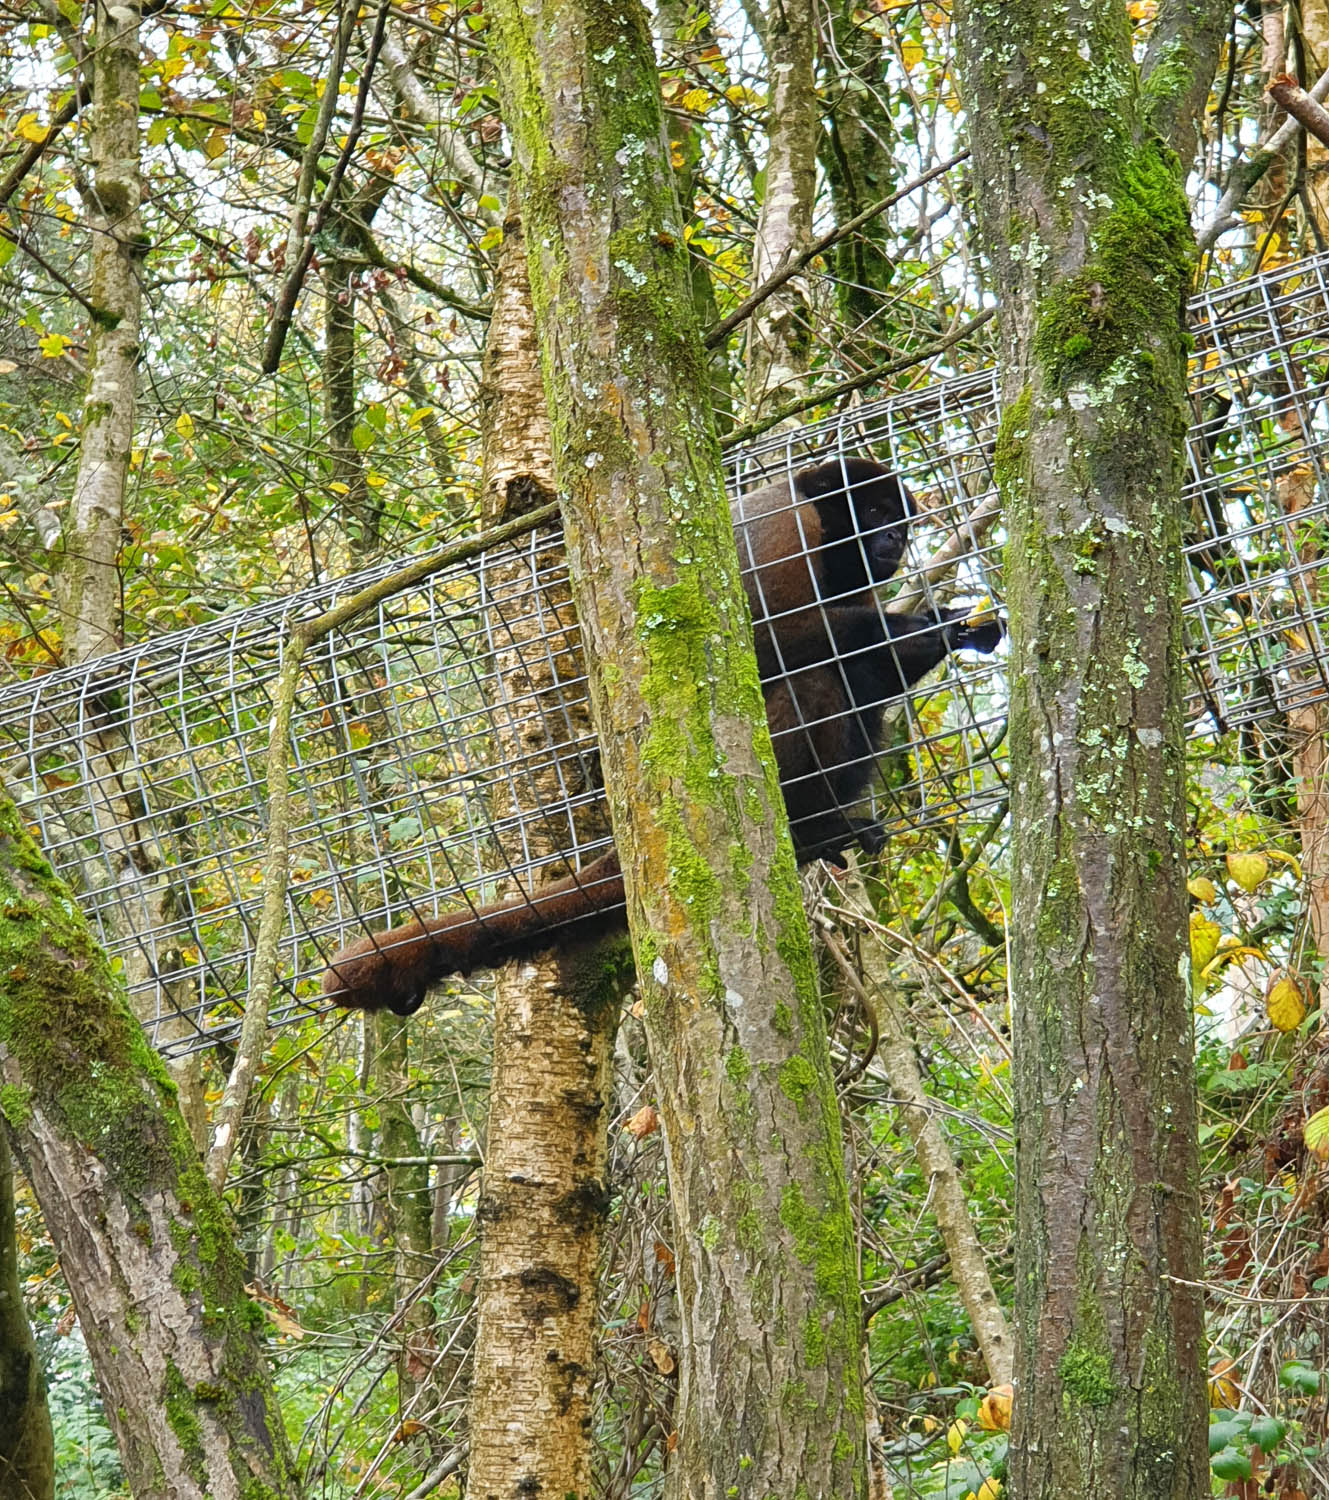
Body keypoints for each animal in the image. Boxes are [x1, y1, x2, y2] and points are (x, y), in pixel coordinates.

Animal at [321, 458, 1002, 1014]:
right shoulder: (788, 533)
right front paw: (931, 623)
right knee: (818, 677)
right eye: (876, 514)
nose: (892, 540)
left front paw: (953, 632)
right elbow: (759, 641)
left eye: (899, 523)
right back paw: (812, 825)